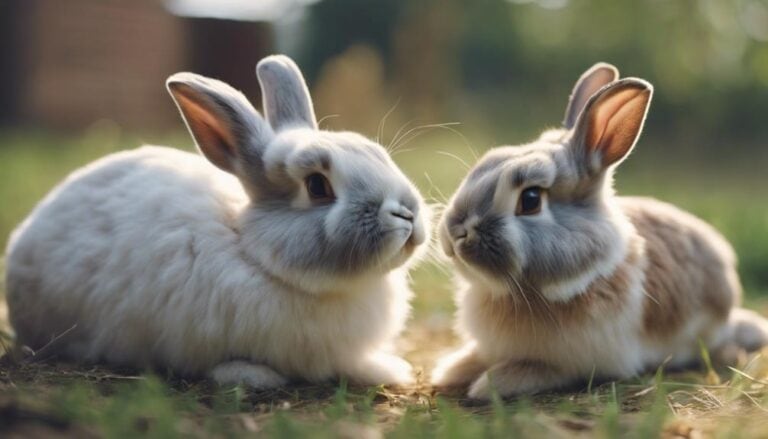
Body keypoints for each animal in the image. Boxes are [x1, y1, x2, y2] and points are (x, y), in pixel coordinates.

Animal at [5, 55, 429, 389]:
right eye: (317, 186)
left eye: (378, 155)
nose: (407, 213)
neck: (254, 254)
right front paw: (254, 377)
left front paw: (387, 369)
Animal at [431, 63, 768, 399]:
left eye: (530, 200)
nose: (454, 233)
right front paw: (451, 369)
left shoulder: (577, 362)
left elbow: (539, 370)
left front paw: (490, 384)